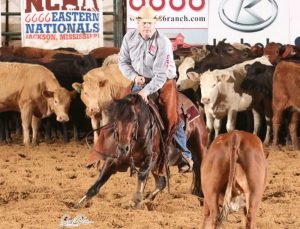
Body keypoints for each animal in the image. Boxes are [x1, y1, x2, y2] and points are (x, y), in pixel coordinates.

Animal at [77, 92, 207, 208]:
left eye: (134, 120)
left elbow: (142, 175)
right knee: (161, 183)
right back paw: (149, 200)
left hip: (199, 147)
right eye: (116, 120)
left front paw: (137, 201)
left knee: (199, 169)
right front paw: (79, 203)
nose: (123, 147)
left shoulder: (152, 157)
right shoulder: (113, 159)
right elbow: (98, 182)